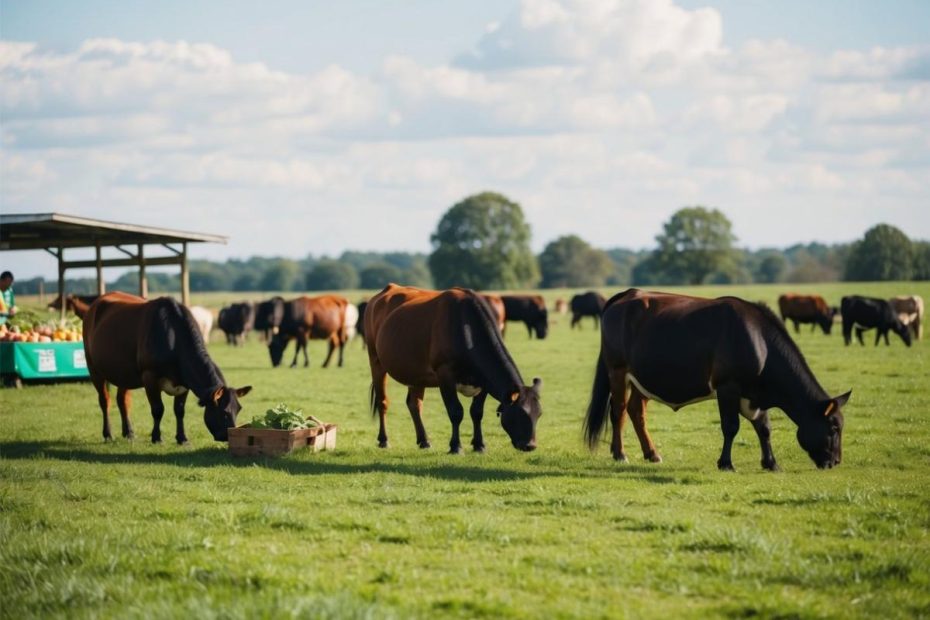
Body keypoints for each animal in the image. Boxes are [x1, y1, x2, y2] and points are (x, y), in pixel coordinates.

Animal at [81, 294, 250, 444]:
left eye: (239, 409)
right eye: (224, 412)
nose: (228, 435)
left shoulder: (184, 382)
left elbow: (179, 410)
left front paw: (182, 438)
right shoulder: (149, 377)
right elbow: (158, 409)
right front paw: (157, 437)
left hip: (123, 372)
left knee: (122, 400)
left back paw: (129, 432)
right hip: (93, 368)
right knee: (104, 400)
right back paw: (108, 434)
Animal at [364, 284, 540, 452]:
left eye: (539, 414)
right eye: (520, 413)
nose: (530, 445)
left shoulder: (484, 381)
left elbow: (477, 412)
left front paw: (479, 445)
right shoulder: (445, 374)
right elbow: (456, 411)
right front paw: (456, 446)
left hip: (415, 372)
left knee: (414, 404)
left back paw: (424, 440)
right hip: (376, 360)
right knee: (382, 401)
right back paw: (384, 440)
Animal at [584, 290, 852, 470]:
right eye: (833, 427)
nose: (835, 461)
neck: (759, 342)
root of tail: (627, 294)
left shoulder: (755, 393)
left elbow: (764, 427)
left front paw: (771, 463)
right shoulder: (728, 387)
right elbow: (731, 426)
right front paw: (726, 463)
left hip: (644, 377)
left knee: (636, 410)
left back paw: (652, 454)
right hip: (617, 370)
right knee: (618, 410)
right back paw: (620, 453)